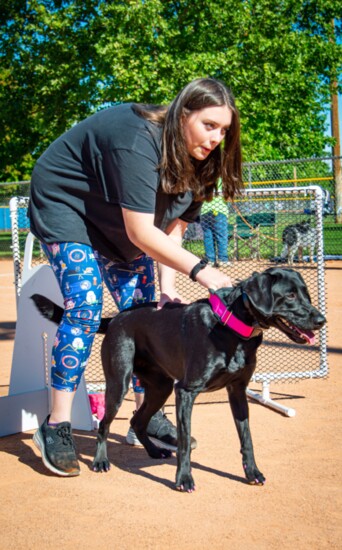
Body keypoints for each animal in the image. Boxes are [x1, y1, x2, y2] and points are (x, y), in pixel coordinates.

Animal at [31, 270, 326, 494]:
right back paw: (100, 461)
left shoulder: (238, 391)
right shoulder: (185, 391)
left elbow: (247, 438)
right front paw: (184, 479)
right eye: (289, 295)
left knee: (137, 420)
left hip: (160, 387)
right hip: (119, 383)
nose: (321, 320)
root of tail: (115, 318)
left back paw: (153, 450)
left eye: (306, 294)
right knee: (104, 424)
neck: (230, 326)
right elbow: (184, 442)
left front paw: (252, 472)